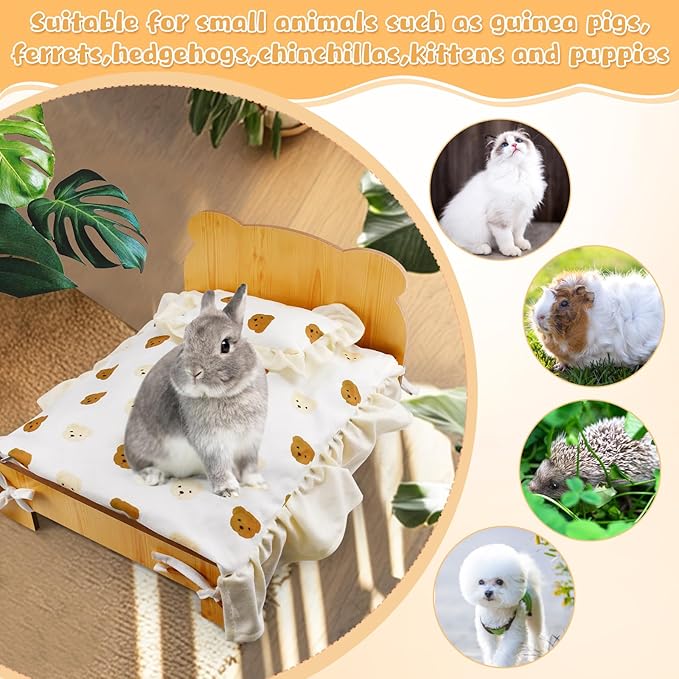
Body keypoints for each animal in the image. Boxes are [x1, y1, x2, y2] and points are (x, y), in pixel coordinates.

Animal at [125, 285, 268, 498]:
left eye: (225, 345)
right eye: (185, 343)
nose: (193, 371)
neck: (227, 394)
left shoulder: (250, 441)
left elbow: (249, 465)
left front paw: (257, 483)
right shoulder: (210, 443)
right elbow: (217, 465)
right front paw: (228, 489)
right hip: (142, 447)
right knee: (140, 467)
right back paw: (155, 477)